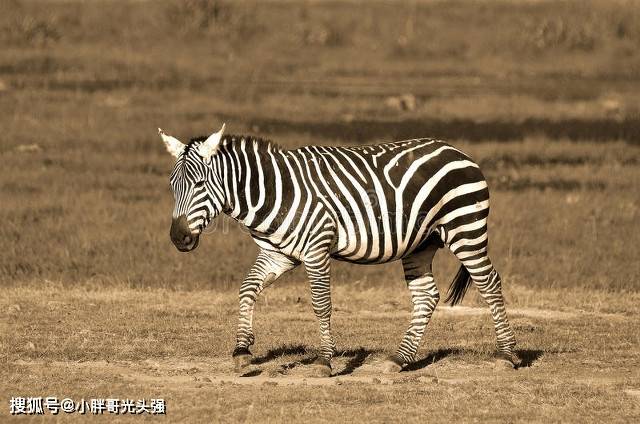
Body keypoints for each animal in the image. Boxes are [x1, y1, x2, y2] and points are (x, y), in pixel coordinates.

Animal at [159, 124, 520, 376]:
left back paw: (507, 355)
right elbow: (247, 289)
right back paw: (399, 359)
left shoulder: (317, 249)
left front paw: (324, 361)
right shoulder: (278, 254)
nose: (178, 239)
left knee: (489, 283)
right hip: (421, 243)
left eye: (200, 185)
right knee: (426, 296)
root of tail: (455, 150)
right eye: (173, 186)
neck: (274, 192)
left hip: (465, 228)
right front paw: (242, 352)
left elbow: (321, 304)